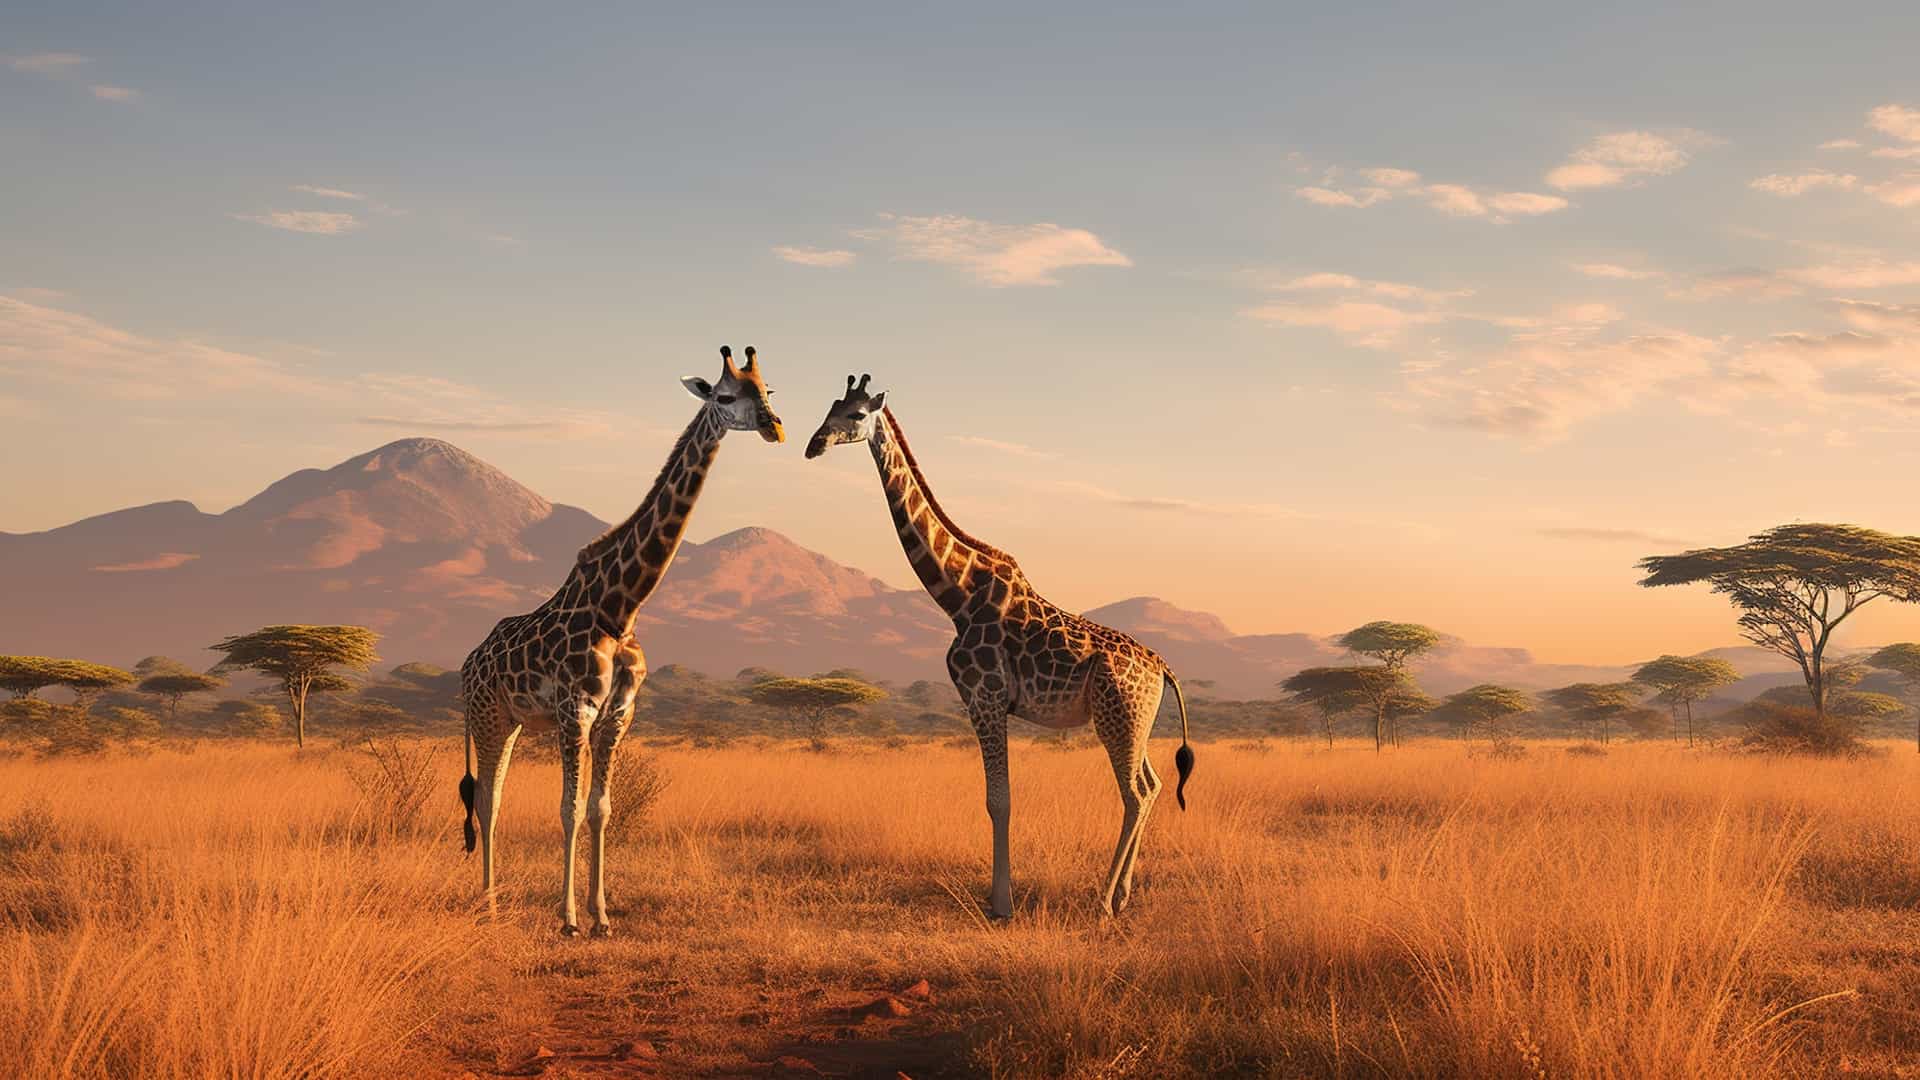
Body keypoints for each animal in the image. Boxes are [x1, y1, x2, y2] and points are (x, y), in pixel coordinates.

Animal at [458, 346, 783, 937]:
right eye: (726, 396)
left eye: (767, 391)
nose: (774, 426)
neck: (621, 607)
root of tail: (466, 664)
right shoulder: (576, 710)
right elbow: (567, 808)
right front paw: (567, 918)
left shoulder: (618, 715)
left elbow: (600, 808)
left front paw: (601, 915)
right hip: (486, 716)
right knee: (487, 801)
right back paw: (489, 902)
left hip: (512, 720)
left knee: (494, 798)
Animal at [804, 375, 1194, 918]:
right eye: (831, 407)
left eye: (857, 415)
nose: (814, 444)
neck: (956, 594)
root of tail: (1163, 668)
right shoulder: (985, 702)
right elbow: (995, 798)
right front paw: (999, 896)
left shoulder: (984, 697)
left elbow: (999, 800)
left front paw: (1001, 903)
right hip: (1135, 720)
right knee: (1154, 785)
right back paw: (1123, 894)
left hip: (1117, 716)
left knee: (1135, 793)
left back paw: (1102, 901)